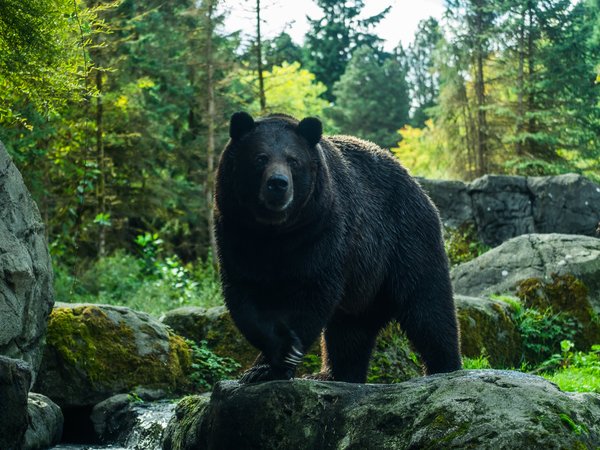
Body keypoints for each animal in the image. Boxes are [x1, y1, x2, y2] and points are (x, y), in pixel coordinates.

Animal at [213, 110, 462, 382]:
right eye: (260, 158)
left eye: (293, 160)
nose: (278, 184)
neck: (276, 231)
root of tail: (418, 186)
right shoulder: (237, 232)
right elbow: (246, 295)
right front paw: (265, 363)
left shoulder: (322, 231)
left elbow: (311, 291)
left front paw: (277, 359)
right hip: (365, 287)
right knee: (350, 332)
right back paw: (336, 374)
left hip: (405, 240)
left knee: (428, 306)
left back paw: (445, 367)